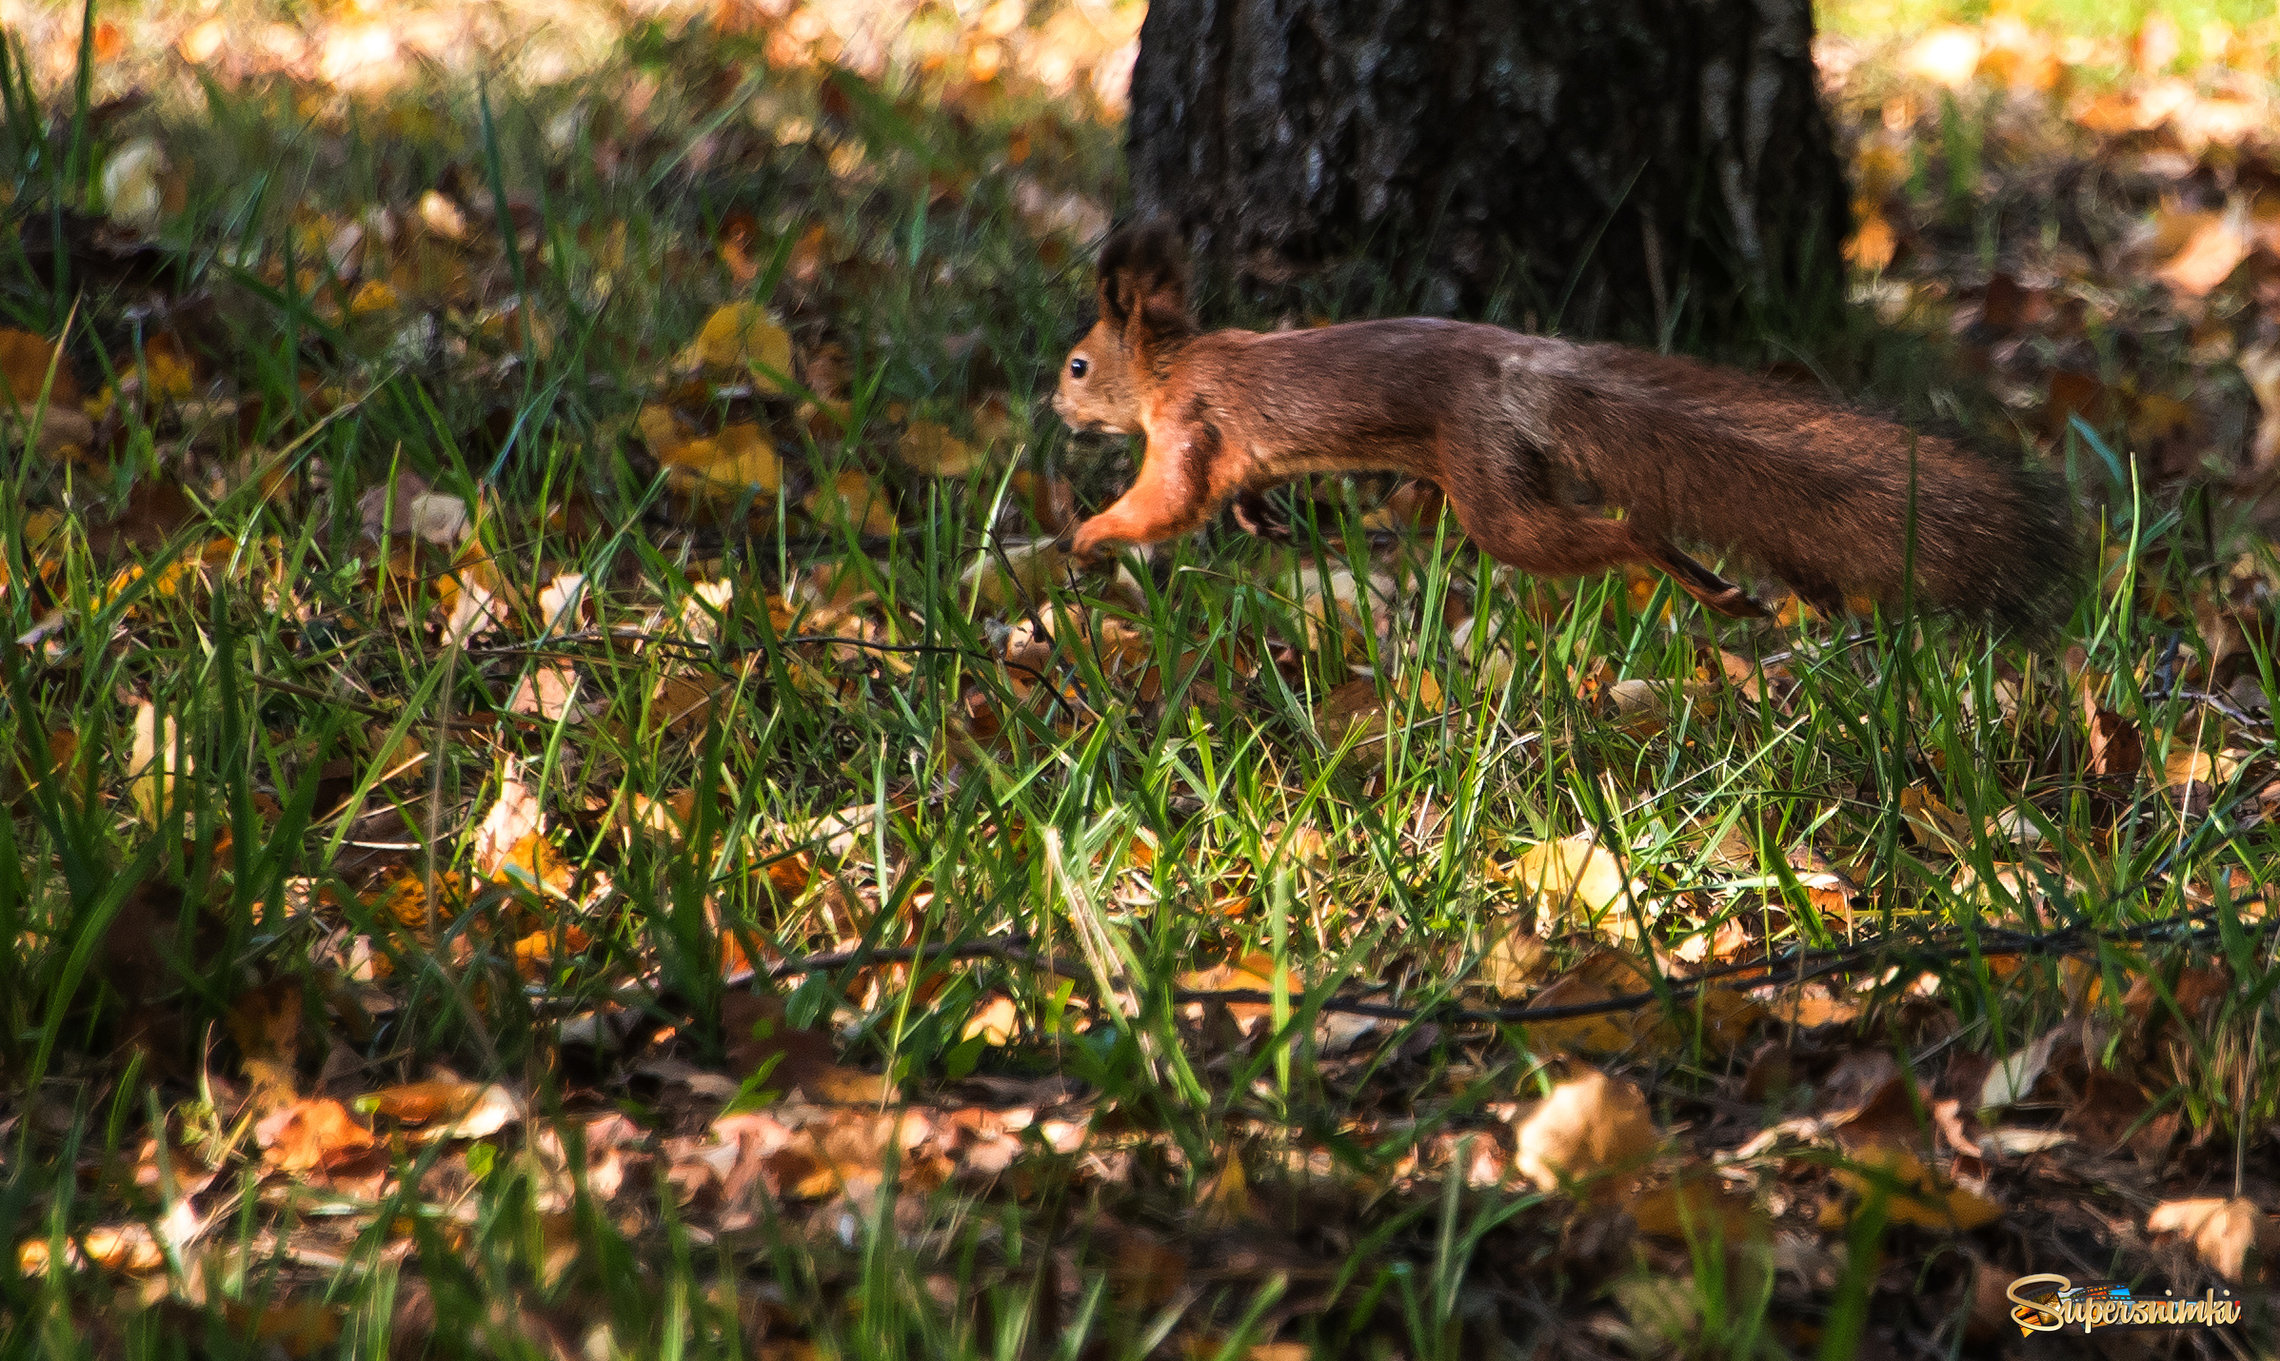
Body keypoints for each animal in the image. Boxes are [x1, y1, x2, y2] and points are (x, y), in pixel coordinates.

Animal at [1057, 221, 2079, 624]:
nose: (1056, 406)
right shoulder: (1231, 445)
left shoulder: (1187, 423)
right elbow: (1232, 493)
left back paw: (1695, 577)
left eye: (1077, 364)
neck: (1171, 363)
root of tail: (1522, 369)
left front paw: (1087, 534)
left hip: (1494, 494)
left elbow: (1166, 500)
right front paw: (1263, 522)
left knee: (1606, 531)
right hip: (1501, 465)